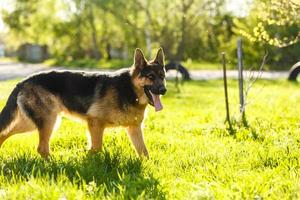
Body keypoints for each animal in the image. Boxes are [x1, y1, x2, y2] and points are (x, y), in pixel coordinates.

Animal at [0, 48, 166, 158]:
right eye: (150, 77)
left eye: (162, 76)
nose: (163, 90)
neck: (129, 90)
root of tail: (22, 82)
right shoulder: (95, 123)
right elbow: (97, 148)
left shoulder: (134, 129)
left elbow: (144, 152)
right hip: (48, 121)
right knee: (42, 148)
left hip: (32, 123)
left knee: (5, 134)